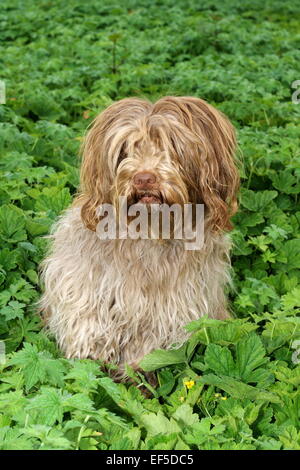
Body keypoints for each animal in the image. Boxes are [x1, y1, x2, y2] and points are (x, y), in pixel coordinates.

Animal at [39, 95, 240, 374]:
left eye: (171, 145)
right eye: (125, 149)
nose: (144, 178)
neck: (150, 231)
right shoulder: (85, 283)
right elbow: (88, 323)